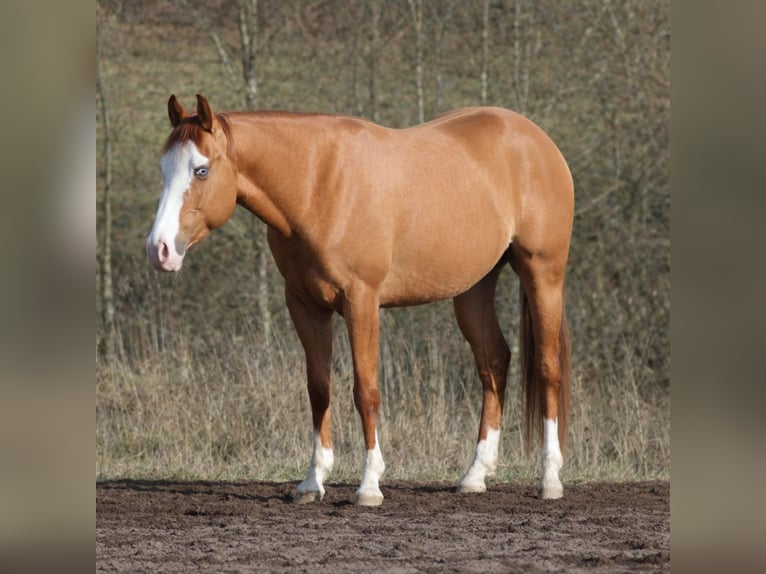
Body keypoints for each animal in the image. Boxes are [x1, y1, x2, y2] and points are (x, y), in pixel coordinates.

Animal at [147, 94, 573, 506]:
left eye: (201, 170)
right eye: (164, 169)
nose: (159, 249)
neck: (317, 186)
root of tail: (536, 140)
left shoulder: (361, 301)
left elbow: (365, 391)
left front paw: (369, 486)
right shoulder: (304, 305)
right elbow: (319, 389)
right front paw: (312, 482)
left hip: (543, 274)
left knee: (547, 367)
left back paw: (549, 478)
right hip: (474, 288)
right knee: (494, 363)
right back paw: (475, 475)